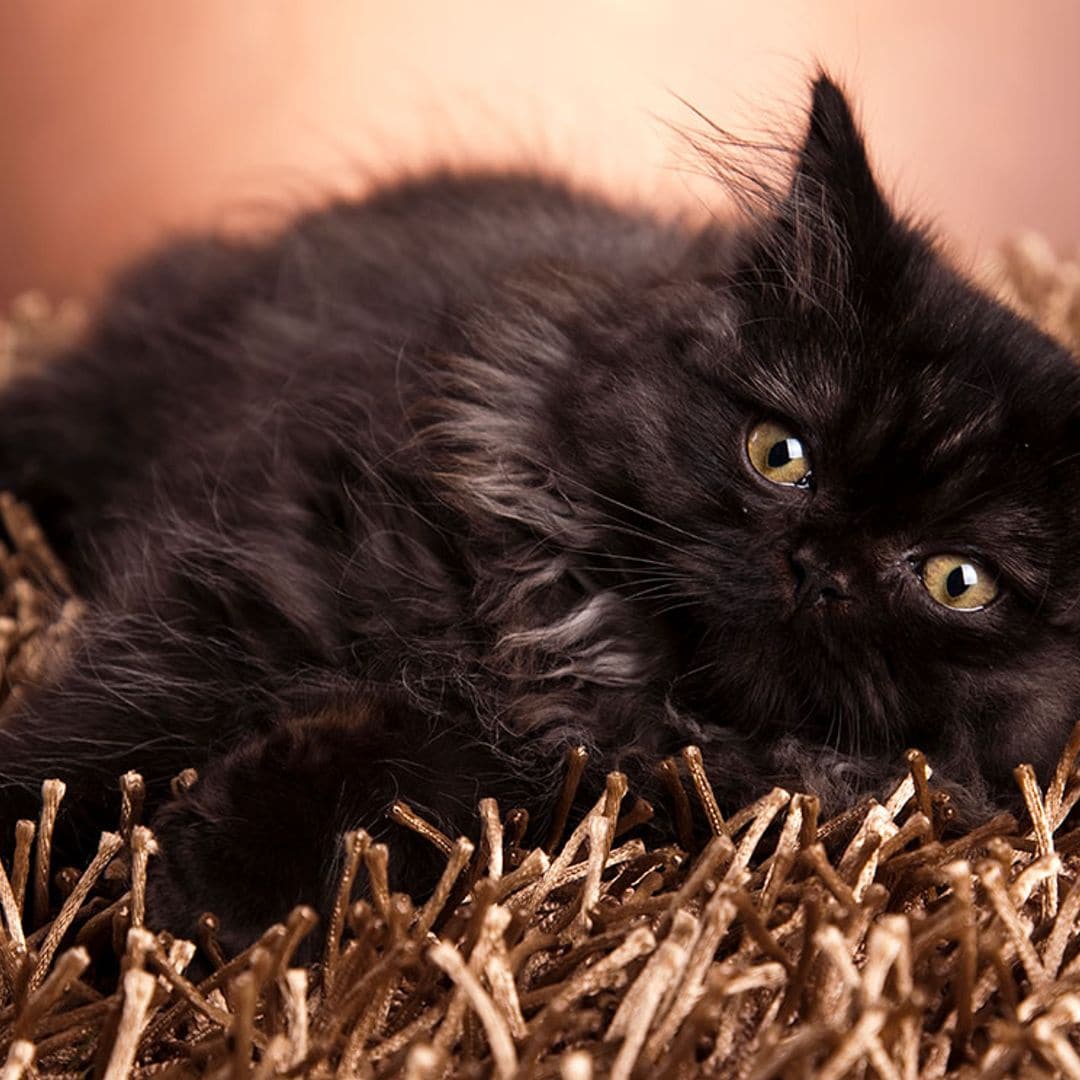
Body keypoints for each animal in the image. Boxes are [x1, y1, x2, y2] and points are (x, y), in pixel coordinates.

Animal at [2, 78, 1080, 954]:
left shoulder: (563, 775)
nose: (818, 568)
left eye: (958, 581)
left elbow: (407, 777)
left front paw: (212, 881)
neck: (584, 659)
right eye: (781, 455)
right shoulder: (248, 609)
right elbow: (84, 749)